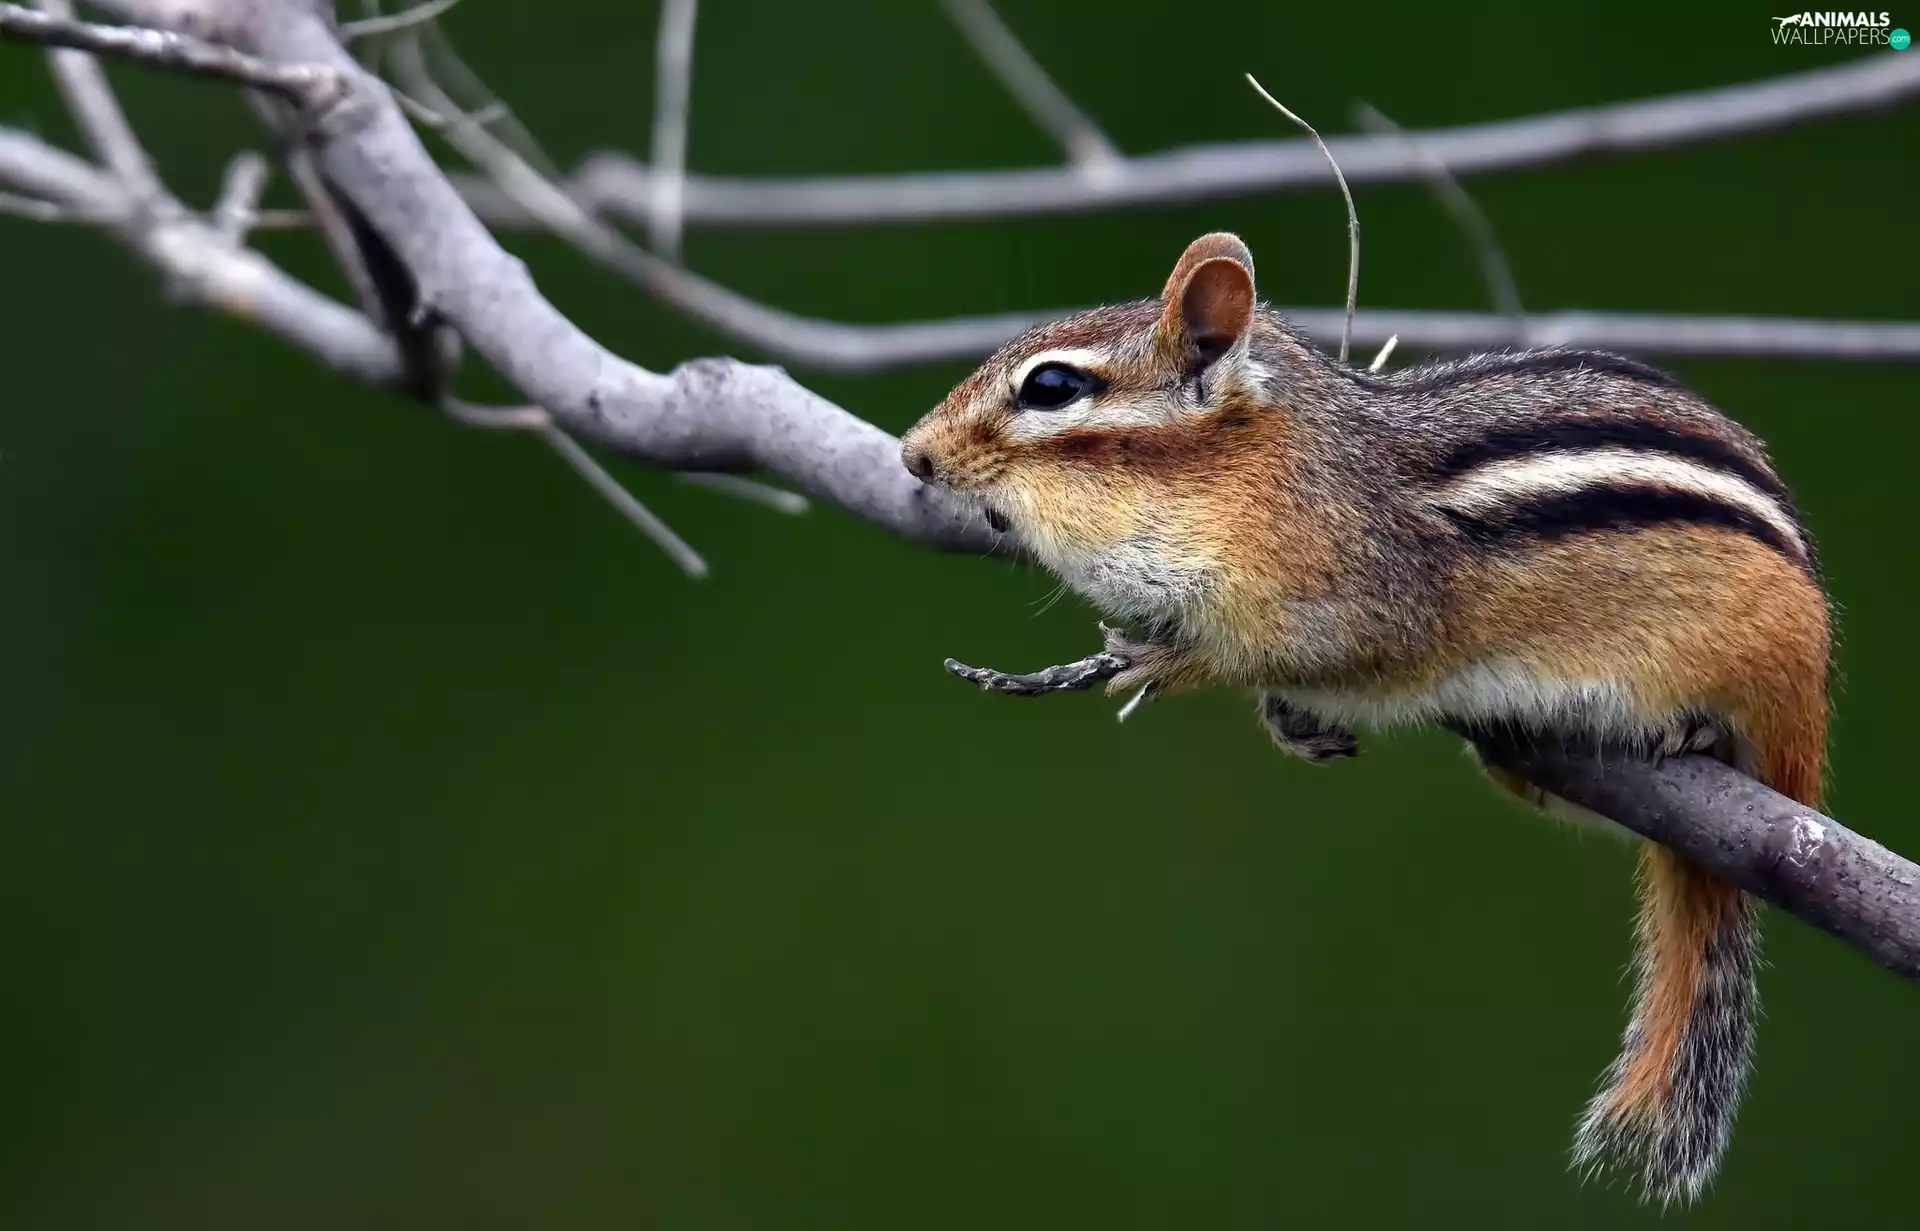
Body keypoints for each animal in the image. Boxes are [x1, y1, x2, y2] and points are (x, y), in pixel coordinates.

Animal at [898, 232, 1830, 1205]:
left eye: (1051, 387)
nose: (912, 456)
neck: (1255, 470)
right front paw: (1280, 717)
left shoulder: (1359, 601)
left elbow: (1282, 652)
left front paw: (1162, 661)